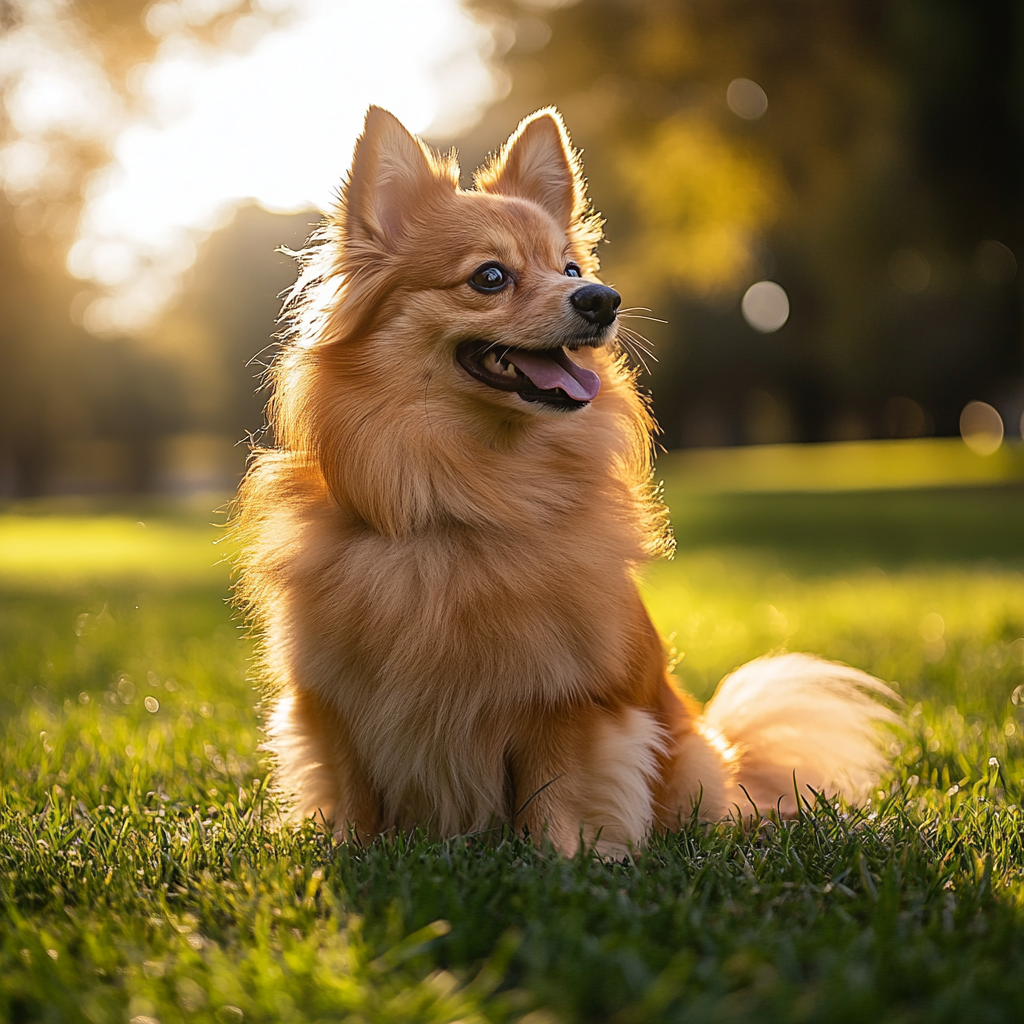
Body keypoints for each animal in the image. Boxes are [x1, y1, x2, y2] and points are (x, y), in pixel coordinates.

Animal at [232, 105, 897, 856]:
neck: (471, 492)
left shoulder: (569, 701)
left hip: (688, 751)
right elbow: (354, 793)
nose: (602, 299)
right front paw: (349, 852)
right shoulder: (335, 701)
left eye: (572, 267)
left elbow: (557, 793)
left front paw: (563, 862)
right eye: (491, 277)